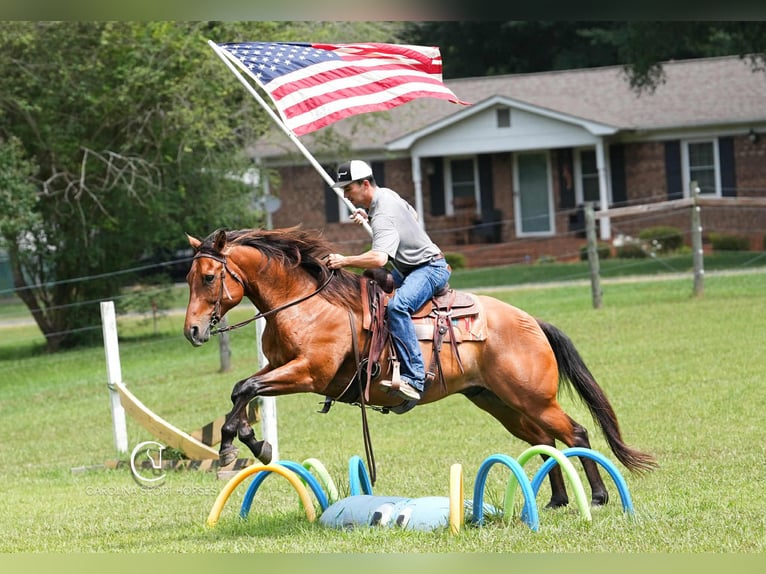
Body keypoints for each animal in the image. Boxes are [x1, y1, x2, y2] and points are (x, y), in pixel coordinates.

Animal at [183, 226, 657, 509]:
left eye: (208, 277)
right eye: (188, 279)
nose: (192, 330)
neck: (307, 304)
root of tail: (531, 321)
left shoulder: (306, 373)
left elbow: (245, 388)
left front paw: (235, 445)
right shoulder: (281, 368)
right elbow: (243, 390)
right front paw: (249, 442)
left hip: (533, 398)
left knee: (574, 433)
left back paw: (597, 496)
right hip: (500, 403)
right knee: (546, 441)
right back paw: (558, 500)